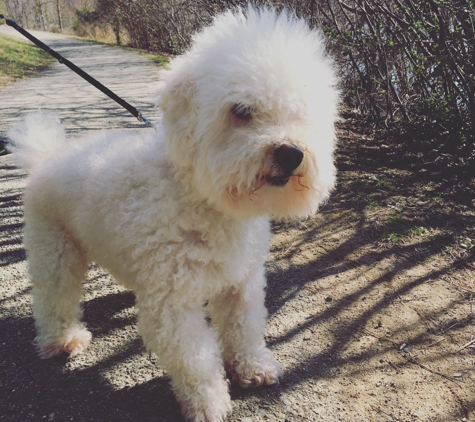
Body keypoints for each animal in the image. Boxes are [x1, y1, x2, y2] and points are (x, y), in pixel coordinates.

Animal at [9, 5, 340, 422]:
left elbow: (244, 329)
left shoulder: (241, 282)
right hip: (55, 249)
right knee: (53, 297)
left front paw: (253, 368)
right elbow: (194, 360)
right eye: (241, 111)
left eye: (300, 111)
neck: (202, 196)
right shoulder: (173, 303)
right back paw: (62, 339)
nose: (291, 154)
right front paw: (208, 402)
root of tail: (47, 155)